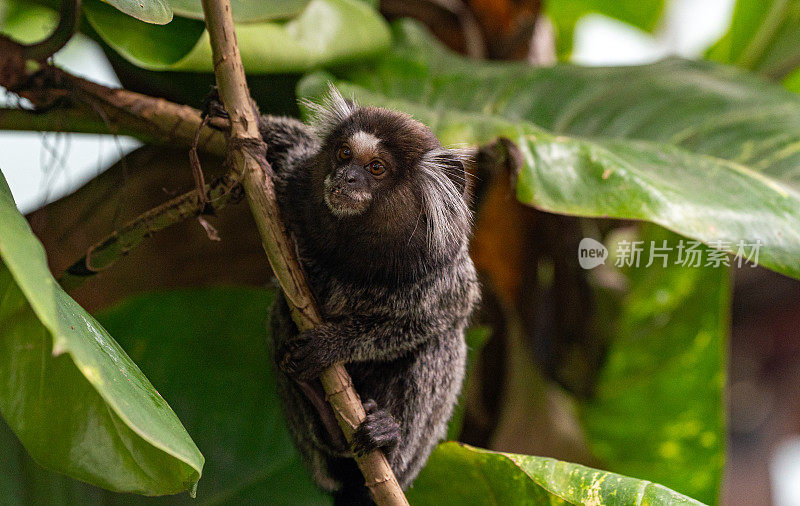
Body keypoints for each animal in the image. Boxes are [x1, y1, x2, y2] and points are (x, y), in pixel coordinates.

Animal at [266, 85, 478, 504]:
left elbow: (429, 320)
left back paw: (387, 439)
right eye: (345, 154)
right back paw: (325, 421)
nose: (346, 177)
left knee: (443, 343)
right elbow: (290, 148)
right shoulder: (296, 181)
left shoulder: (445, 270)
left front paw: (329, 344)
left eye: (376, 168)